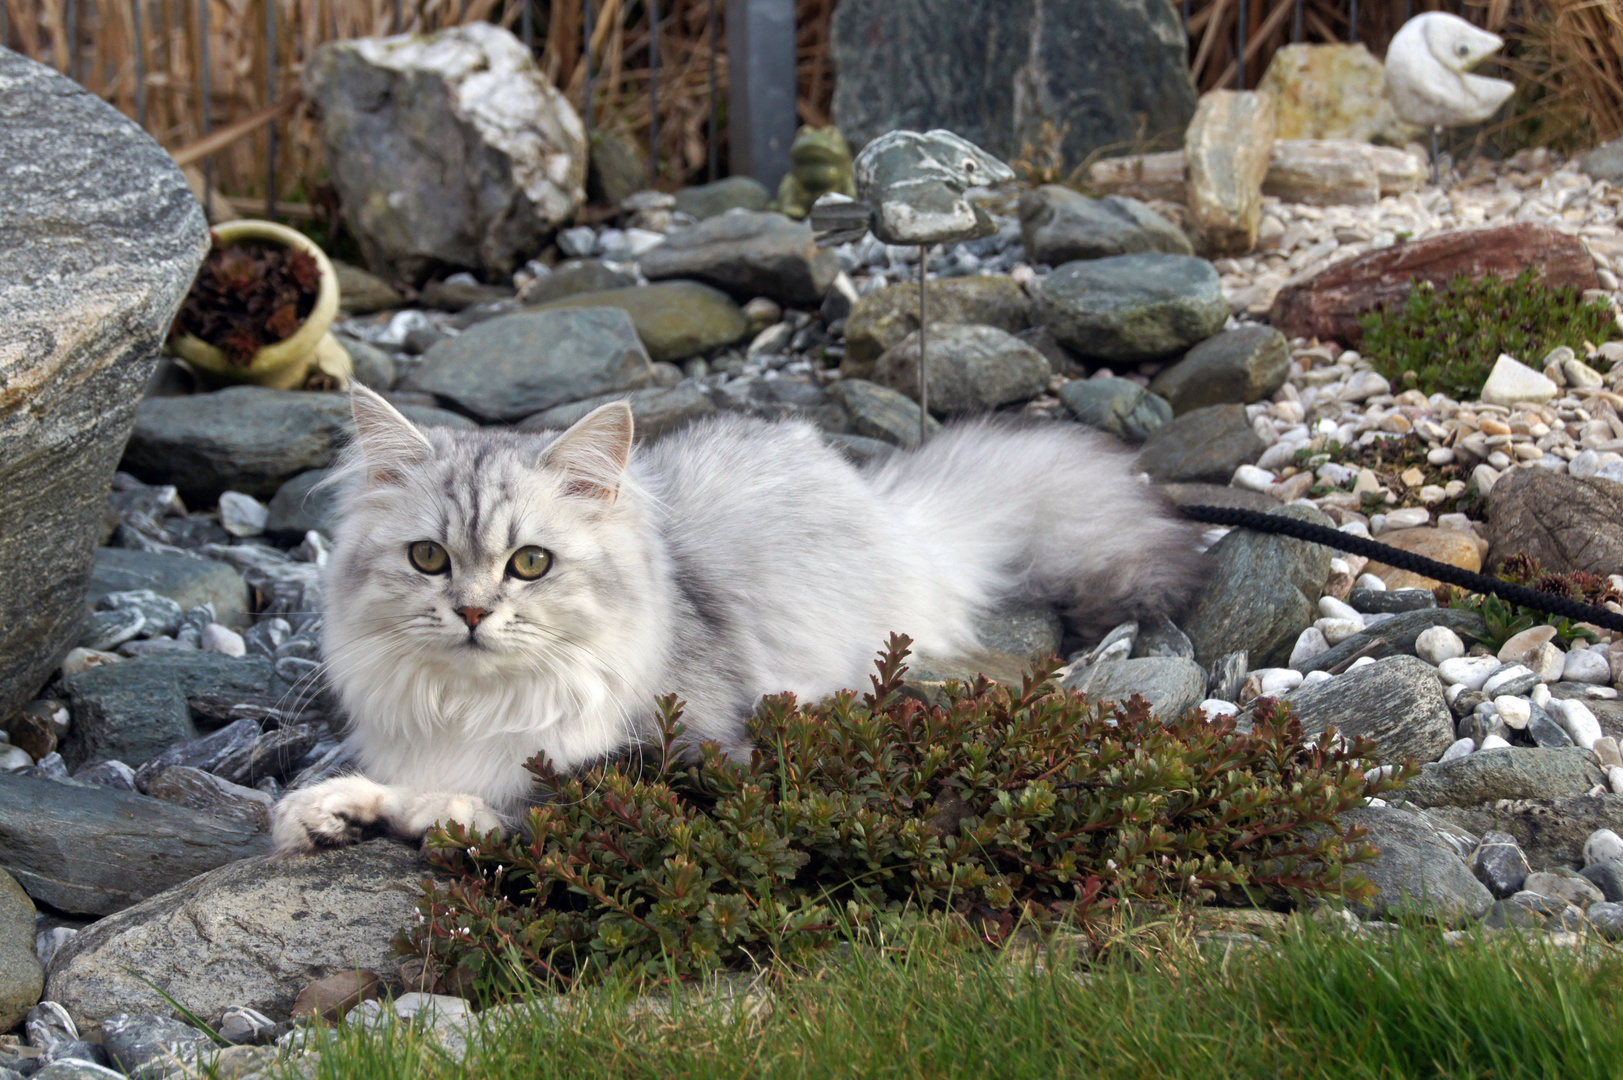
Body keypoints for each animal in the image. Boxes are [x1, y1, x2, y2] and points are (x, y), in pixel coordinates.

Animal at [269, 384, 1207, 851]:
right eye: (429, 558)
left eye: (528, 564)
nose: (469, 612)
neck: (479, 706)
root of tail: (891, 505)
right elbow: (374, 787)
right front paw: (330, 812)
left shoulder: (698, 759)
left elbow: (538, 797)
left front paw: (442, 813)